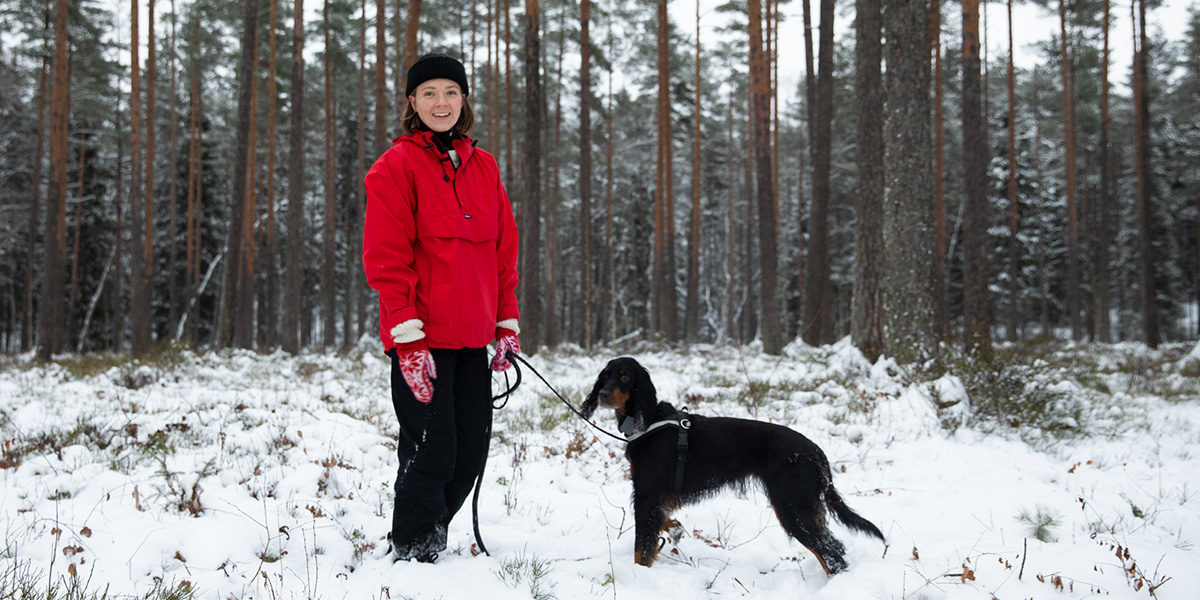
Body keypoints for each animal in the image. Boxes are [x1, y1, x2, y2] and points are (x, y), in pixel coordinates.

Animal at [580, 355, 883, 576]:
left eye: (625, 376)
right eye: (605, 375)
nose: (603, 394)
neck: (649, 421)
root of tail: (816, 452)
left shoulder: (646, 494)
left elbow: (641, 547)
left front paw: (638, 574)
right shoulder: (654, 498)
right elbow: (664, 523)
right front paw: (675, 529)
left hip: (793, 507)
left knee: (831, 553)